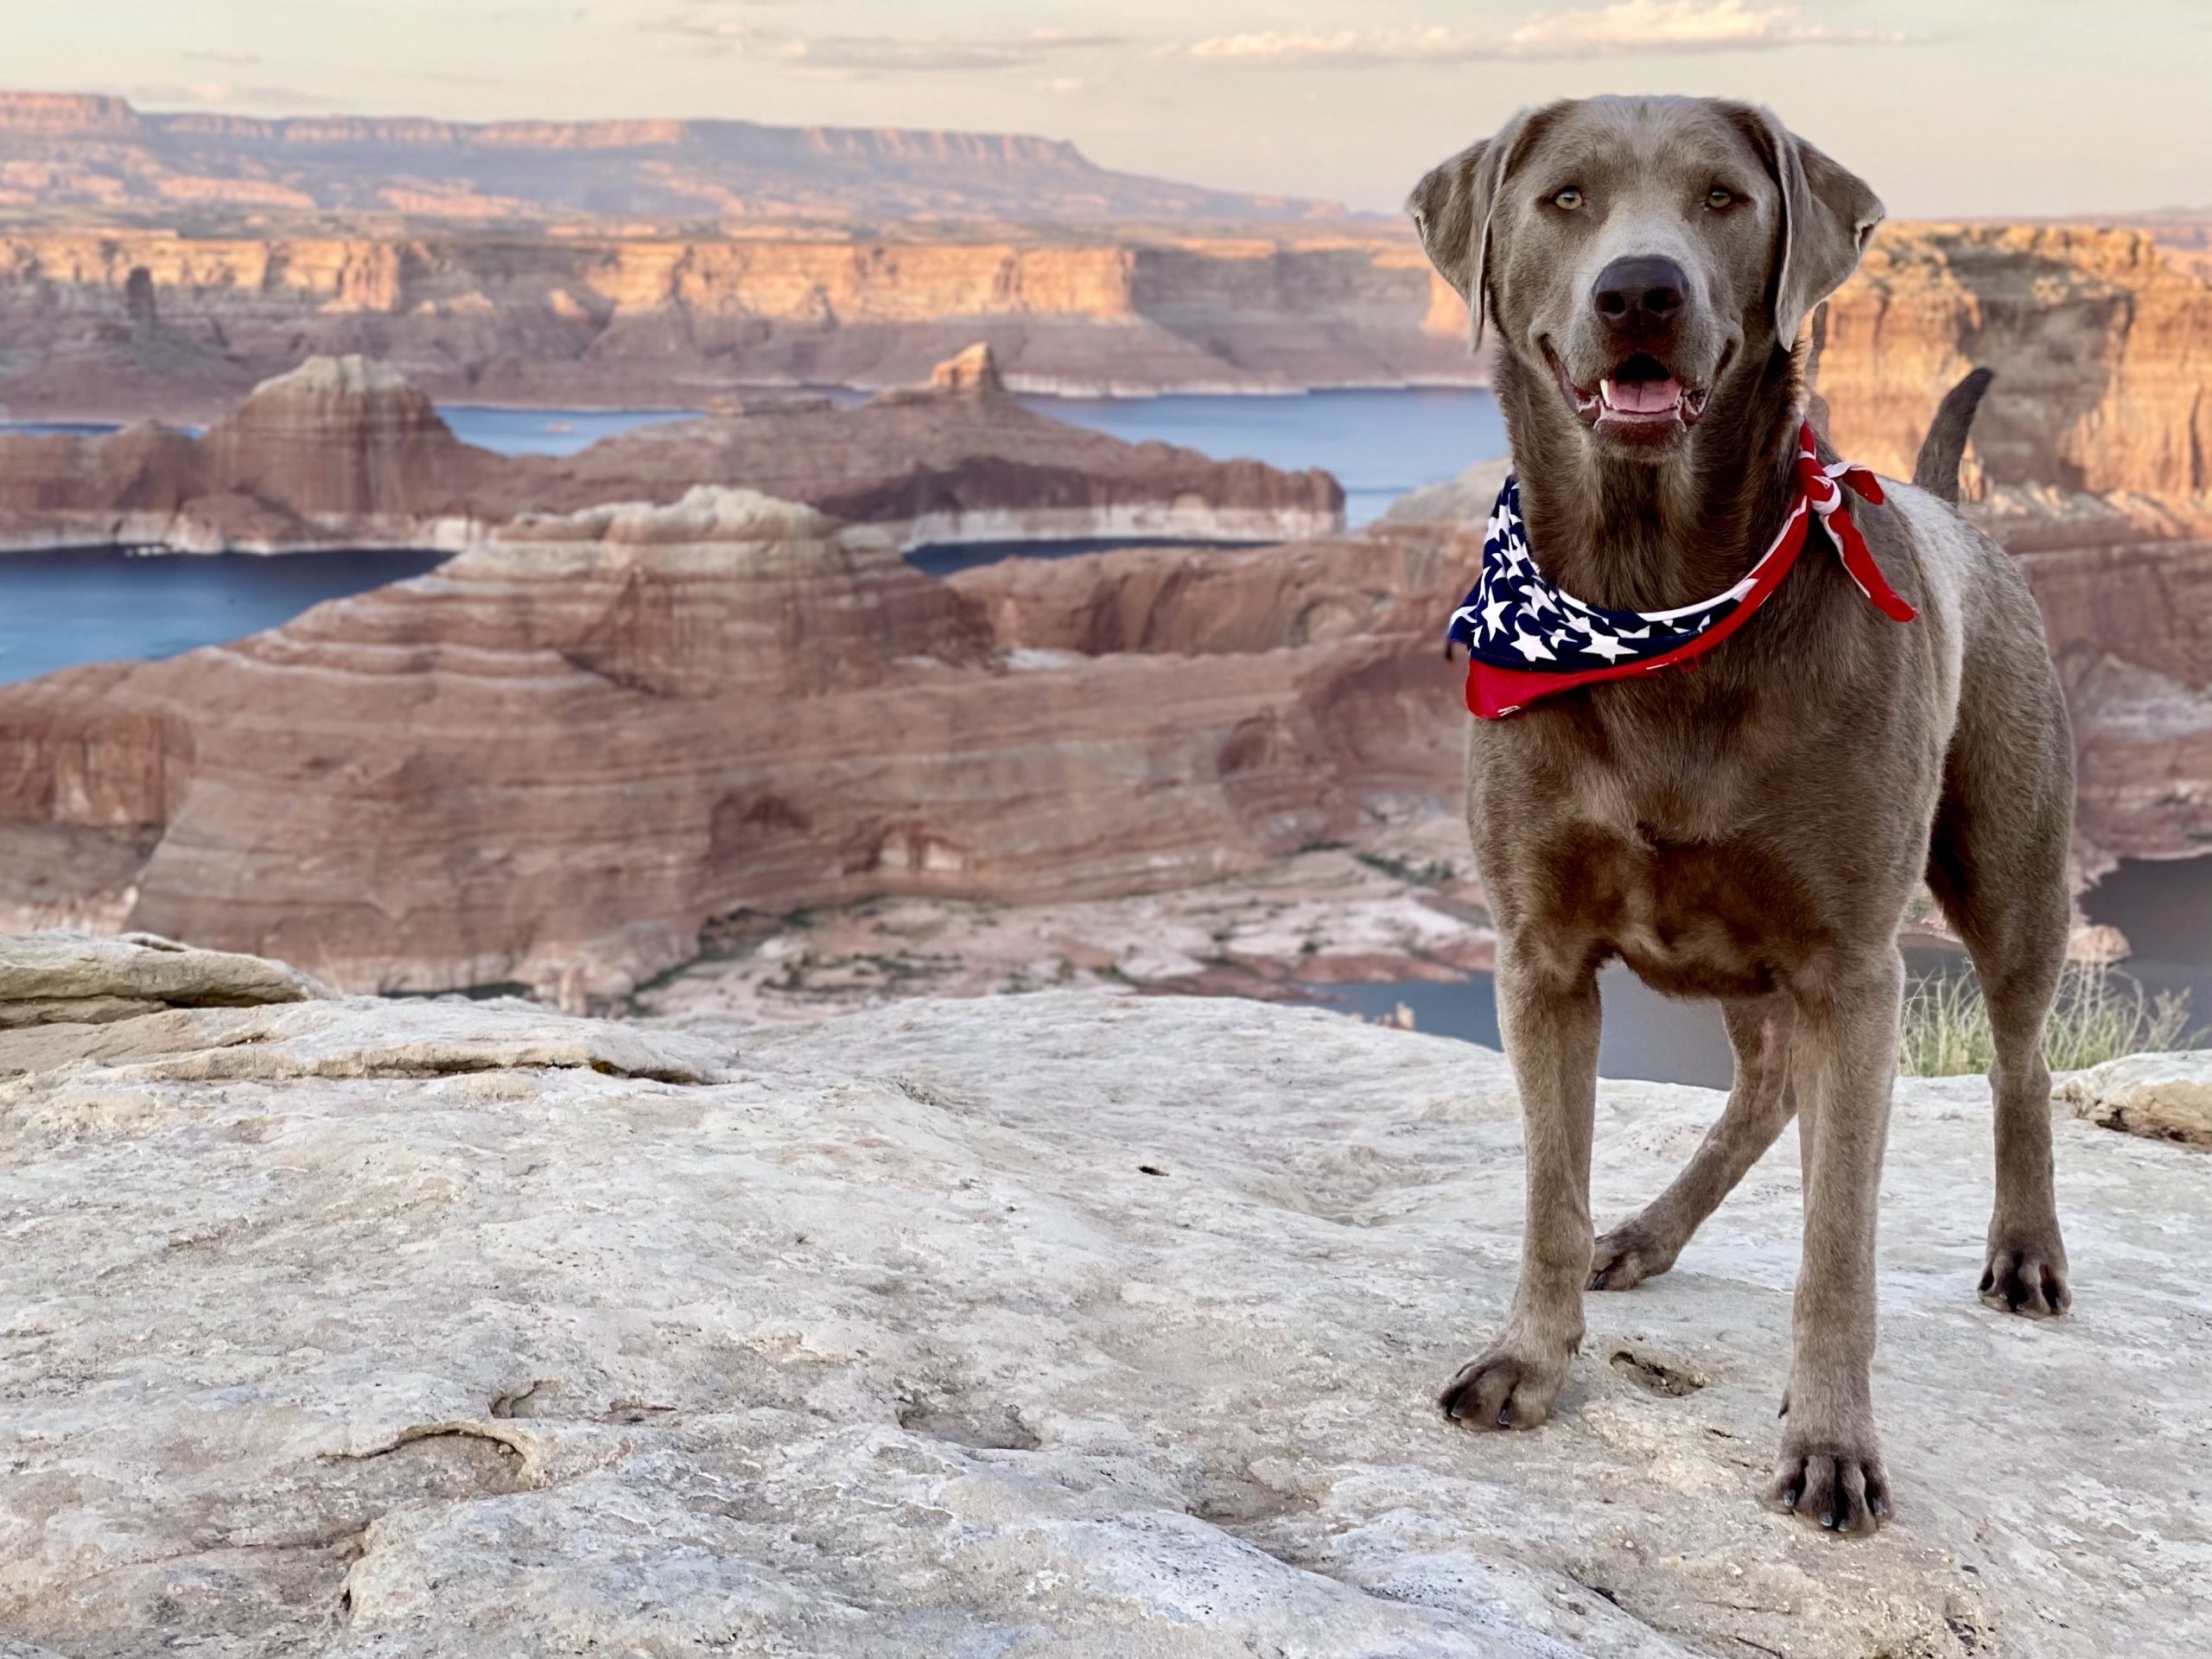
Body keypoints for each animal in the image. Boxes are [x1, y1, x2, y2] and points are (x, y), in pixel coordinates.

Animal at [1415, 97, 2070, 1539]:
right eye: (1564, 196)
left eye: (1724, 197)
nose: (1639, 290)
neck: (1653, 598)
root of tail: (1956, 510)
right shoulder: (1539, 959)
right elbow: (1549, 1188)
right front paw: (1529, 1359)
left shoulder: (1852, 971)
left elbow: (1839, 1248)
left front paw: (1831, 1445)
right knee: (1764, 1088)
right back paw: (1649, 1232)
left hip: (2010, 870)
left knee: (2019, 1060)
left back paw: (2027, 1252)